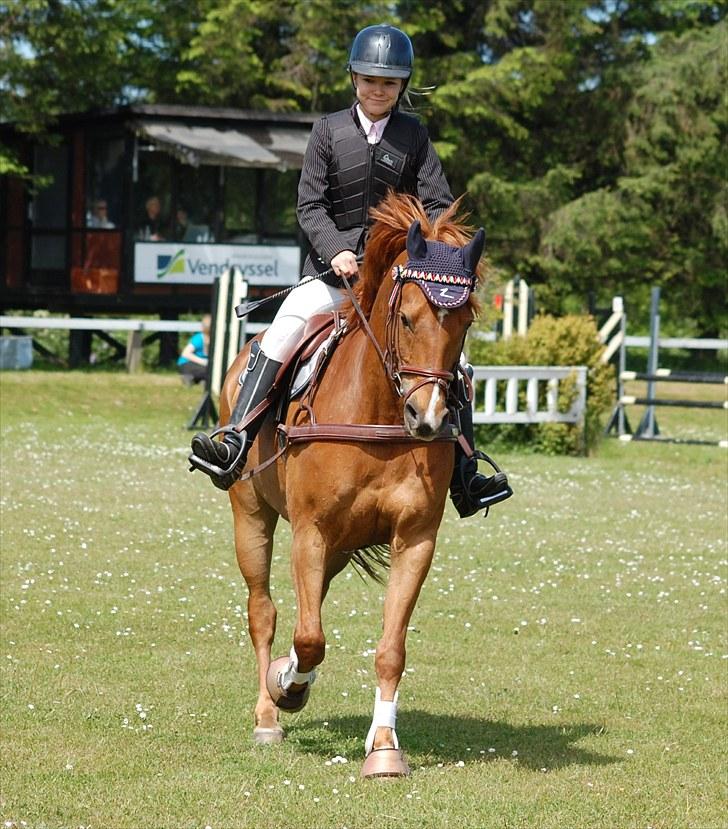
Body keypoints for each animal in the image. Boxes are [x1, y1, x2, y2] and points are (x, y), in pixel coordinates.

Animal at [222, 192, 484, 776]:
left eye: (464, 326)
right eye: (407, 318)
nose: (427, 418)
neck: (378, 414)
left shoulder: (414, 540)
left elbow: (390, 649)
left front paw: (384, 748)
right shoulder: (311, 532)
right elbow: (310, 636)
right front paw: (287, 687)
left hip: (339, 545)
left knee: (307, 600)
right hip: (252, 514)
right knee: (265, 611)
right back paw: (268, 713)